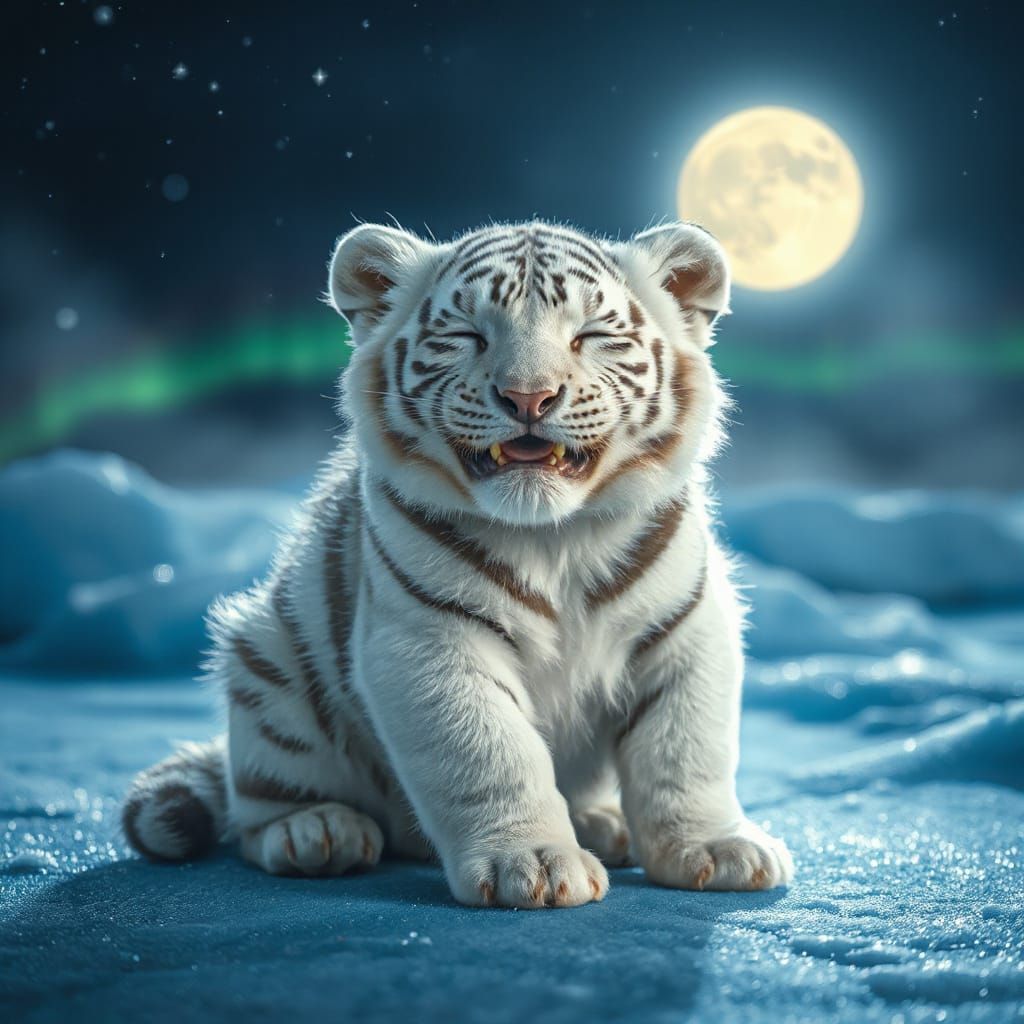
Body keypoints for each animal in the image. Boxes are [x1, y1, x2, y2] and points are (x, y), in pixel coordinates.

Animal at [122, 219, 793, 908]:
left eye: (590, 335)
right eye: (468, 336)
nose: (529, 397)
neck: (554, 538)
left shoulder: (686, 631)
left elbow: (686, 750)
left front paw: (715, 848)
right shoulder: (431, 638)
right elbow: (488, 751)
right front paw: (533, 863)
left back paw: (602, 824)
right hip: (267, 663)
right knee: (259, 807)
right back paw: (317, 832)